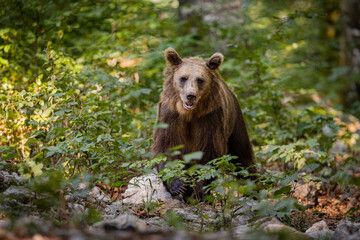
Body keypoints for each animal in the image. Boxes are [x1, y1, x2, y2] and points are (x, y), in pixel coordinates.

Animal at [152, 47, 256, 201]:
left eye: (200, 80)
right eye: (183, 78)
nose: (191, 95)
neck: (189, 113)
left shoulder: (209, 118)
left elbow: (209, 150)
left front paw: (199, 190)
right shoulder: (170, 115)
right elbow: (168, 145)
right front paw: (178, 185)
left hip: (235, 122)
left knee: (242, 156)